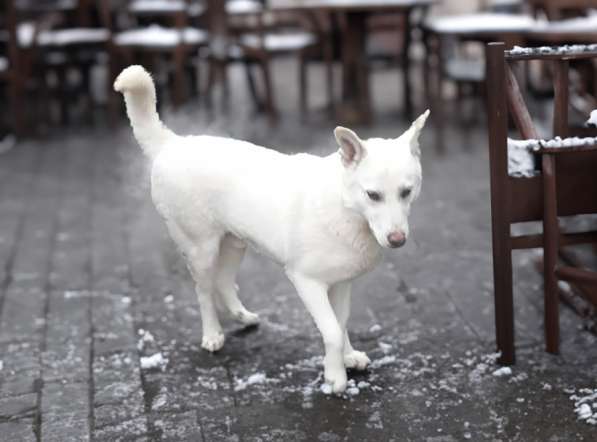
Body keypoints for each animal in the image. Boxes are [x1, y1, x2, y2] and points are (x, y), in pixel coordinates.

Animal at [113, 66, 428, 394]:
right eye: (373, 195)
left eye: (406, 192)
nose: (397, 240)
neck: (345, 207)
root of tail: (172, 143)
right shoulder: (307, 281)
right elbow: (331, 330)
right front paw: (335, 377)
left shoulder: (341, 283)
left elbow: (341, 324)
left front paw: (348, 357)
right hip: (202, 248)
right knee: (204, 289)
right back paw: (212, 334)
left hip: (235, 242)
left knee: (224, 282)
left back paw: (241, 316)